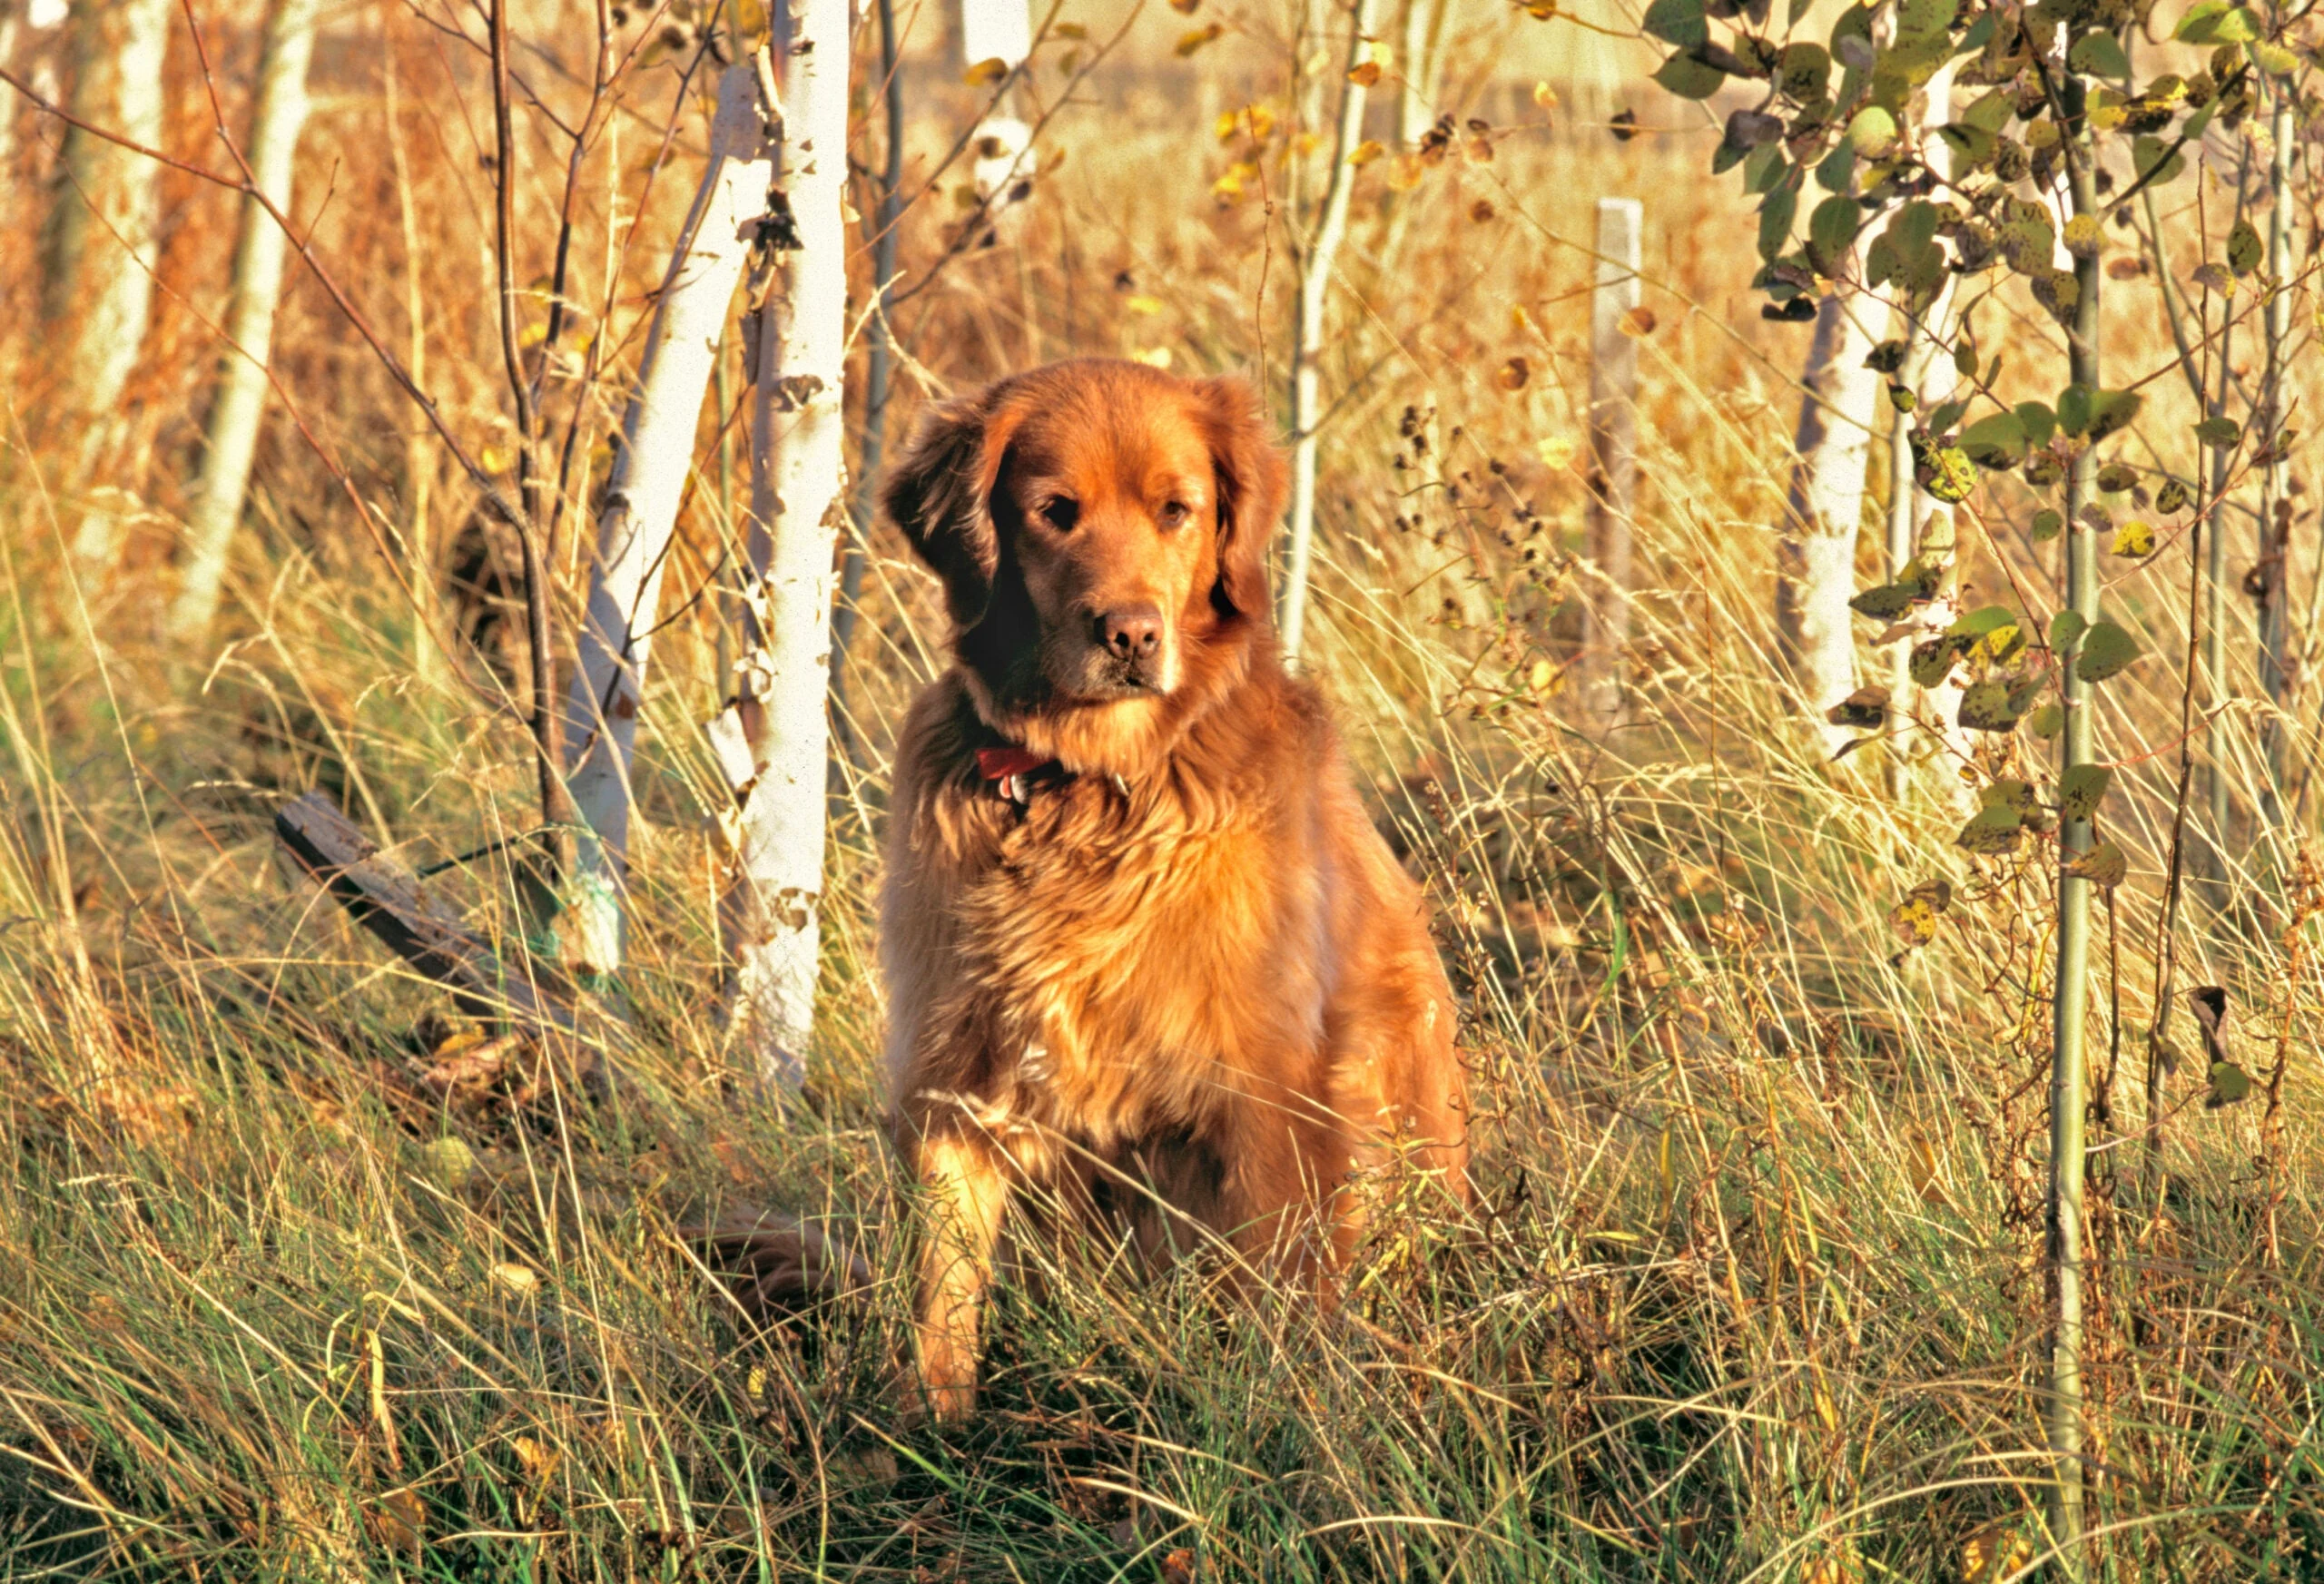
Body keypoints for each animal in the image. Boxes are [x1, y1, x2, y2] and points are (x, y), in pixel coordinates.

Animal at [878, 359, 1459, 1421]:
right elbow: (940, 1302)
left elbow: (1278, 1306)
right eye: (1054, 512)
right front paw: (927, 1434)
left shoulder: (1266, 1090)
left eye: (1176, 510)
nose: (1130, 634)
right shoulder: (950, 1071)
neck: (1085, 786)